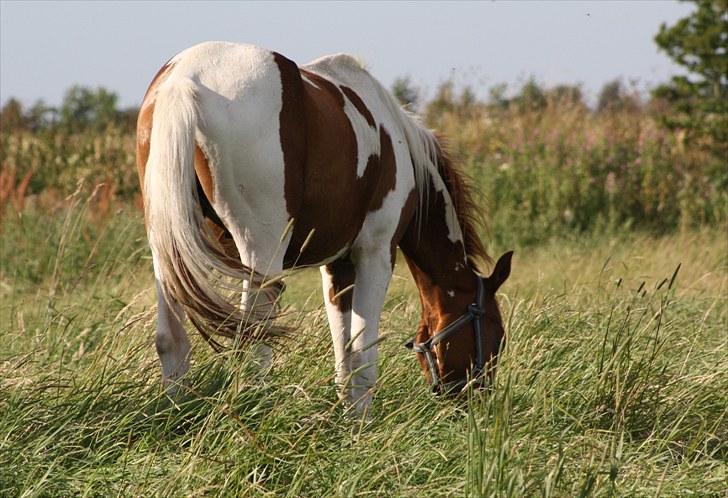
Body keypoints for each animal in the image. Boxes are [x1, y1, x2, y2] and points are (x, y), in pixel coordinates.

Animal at [136, 40, 512, 410]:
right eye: (496, 335)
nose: (476, 400)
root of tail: (185, 80)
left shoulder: (338, 268)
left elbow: (344, 357)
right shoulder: (375, 254)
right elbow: (362, 356)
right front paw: (361, 420)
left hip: (169, 256)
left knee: (172, 341)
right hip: (260, 257)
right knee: (254, 342)